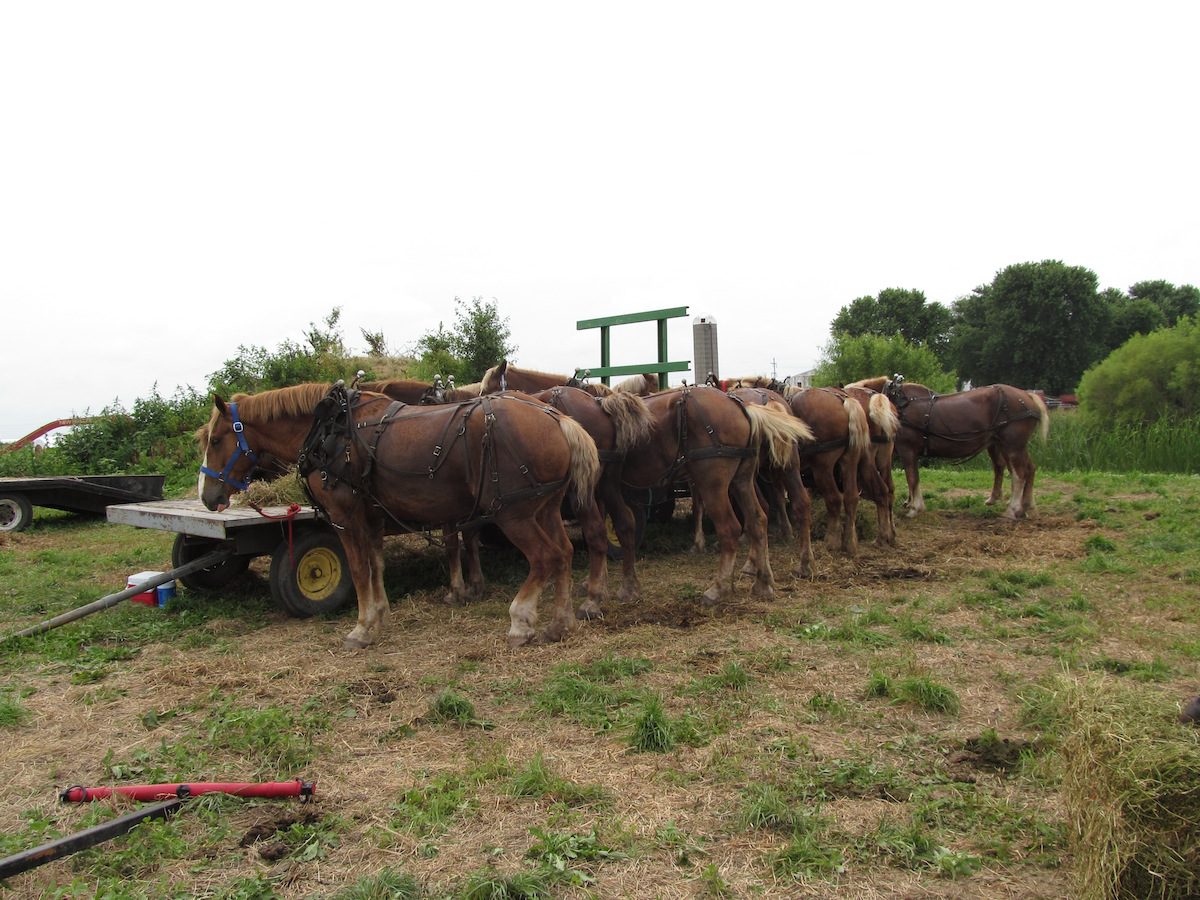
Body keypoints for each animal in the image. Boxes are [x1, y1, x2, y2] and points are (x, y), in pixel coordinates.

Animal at [197, 383, 600, 649]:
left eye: (215, 440)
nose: (207, 496)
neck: (334, 431)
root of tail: (556, 418)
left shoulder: (345, 516)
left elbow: (359, 569)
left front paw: (361, 628)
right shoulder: (373, 516)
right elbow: (376, 566)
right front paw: (380, 614)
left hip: (514, 514)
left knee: (545, 557)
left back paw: (521, 620)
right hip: (544, 508)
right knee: (564, 553)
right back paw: (560, 622)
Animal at [620, 384, 813, 604]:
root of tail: (746, 407)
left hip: (715, 483)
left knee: (731, 527)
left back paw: (720, 587)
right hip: (761, 474)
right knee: (773, 513)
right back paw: (780, 573)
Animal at [786, 387, 870, 574]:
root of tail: (842, 400)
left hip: (823, 466)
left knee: (834, 499)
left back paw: (832, 540)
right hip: (850, 460)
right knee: (851, 498)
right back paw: (850, 543)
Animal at [847, 376, 1050, 519]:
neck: (893, 405)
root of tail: (1028, 396)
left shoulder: (908, 450)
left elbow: (912, 478)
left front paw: (915, 508)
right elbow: (911, 478)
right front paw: (910, 502)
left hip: (1012, 445)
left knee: (1020, 474)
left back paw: (1013, 509)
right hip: (1007, 446)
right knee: (1029, 469)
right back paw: (1026, 505)